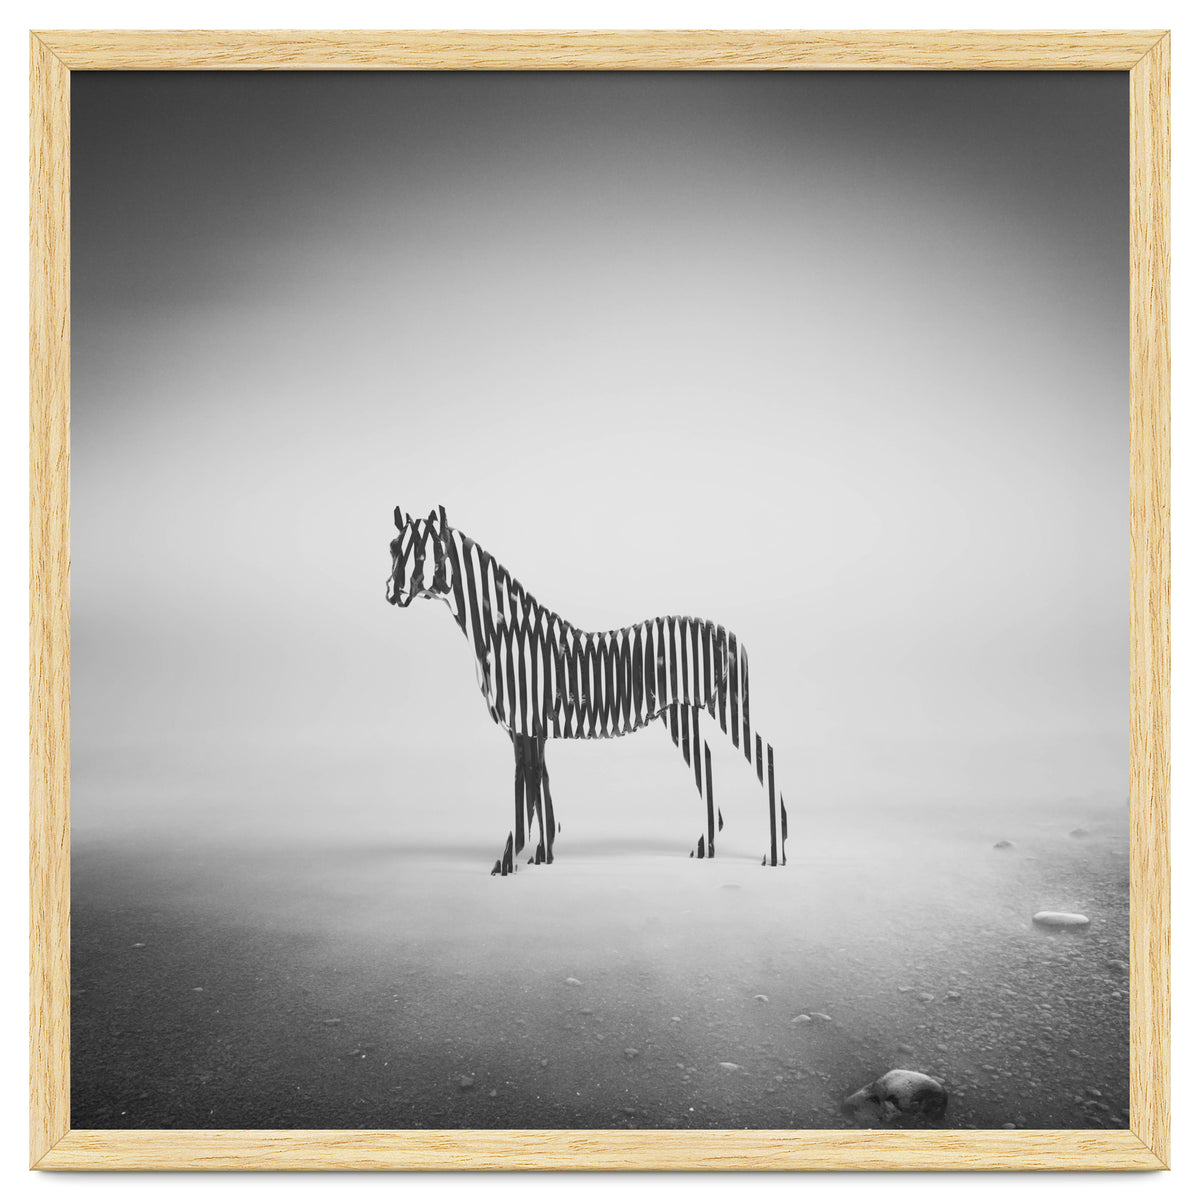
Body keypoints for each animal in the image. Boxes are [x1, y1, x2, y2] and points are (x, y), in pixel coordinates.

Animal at [387, 505, 788, 875]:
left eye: (423, 554)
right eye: (393, 548)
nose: (392, 593)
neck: (508, 636)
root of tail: (731, 635)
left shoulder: (525, 725)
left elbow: (525, 794)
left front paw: (508, 861)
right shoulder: (531, 729)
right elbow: (540, 790)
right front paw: (543, 855)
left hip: (725, 706)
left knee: (764, 755)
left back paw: (775, 852)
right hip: (680, 714)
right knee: (706, 761)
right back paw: (707, 847)